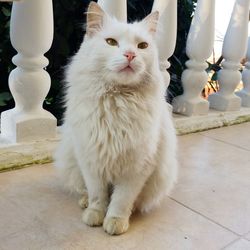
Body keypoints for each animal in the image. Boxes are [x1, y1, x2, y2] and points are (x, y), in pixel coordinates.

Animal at [54, 1, 178, 236]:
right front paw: (94, 216)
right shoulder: (91, 161)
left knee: (134, 201)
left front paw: (115, 222)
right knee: (84, 191)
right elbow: (98, 195)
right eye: (111, 42)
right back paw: (84, 203)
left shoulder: (137, 167)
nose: (130, 55)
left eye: (142, 46)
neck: (117, 101)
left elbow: (121, 200)